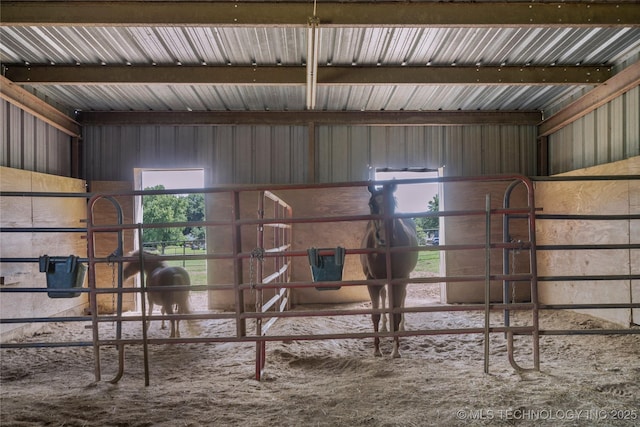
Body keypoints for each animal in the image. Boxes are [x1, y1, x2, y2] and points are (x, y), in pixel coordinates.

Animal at [360, 184, 420, 358]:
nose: (383, 238)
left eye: (392, 203)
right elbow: (375, 315)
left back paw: (401, 327)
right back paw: (385, 327)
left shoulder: (400, 279)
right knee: (384, 295)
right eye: (371, 204)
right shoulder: (372, 281)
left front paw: (395, 350)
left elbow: (397, 312)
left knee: (402, 298)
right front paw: (376, 349)